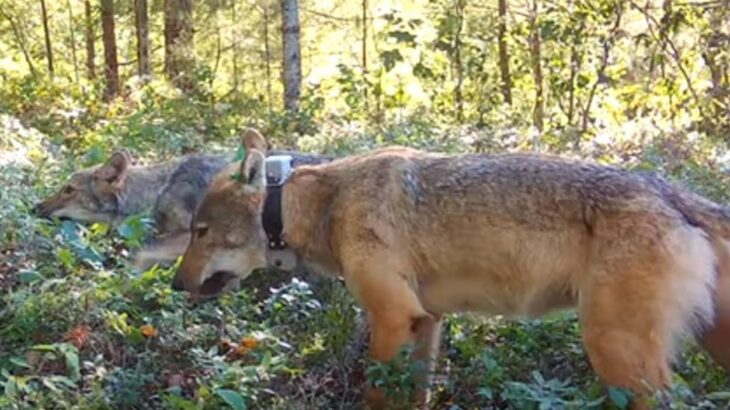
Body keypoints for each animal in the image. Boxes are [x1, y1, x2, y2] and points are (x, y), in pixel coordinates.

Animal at [172, 131, 728, 410]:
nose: (176, 285)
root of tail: (671, 192)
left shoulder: (393, 319)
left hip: (618, 356)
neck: (325, 203)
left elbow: (376, 396)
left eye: (200, 231)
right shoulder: (427, 323)